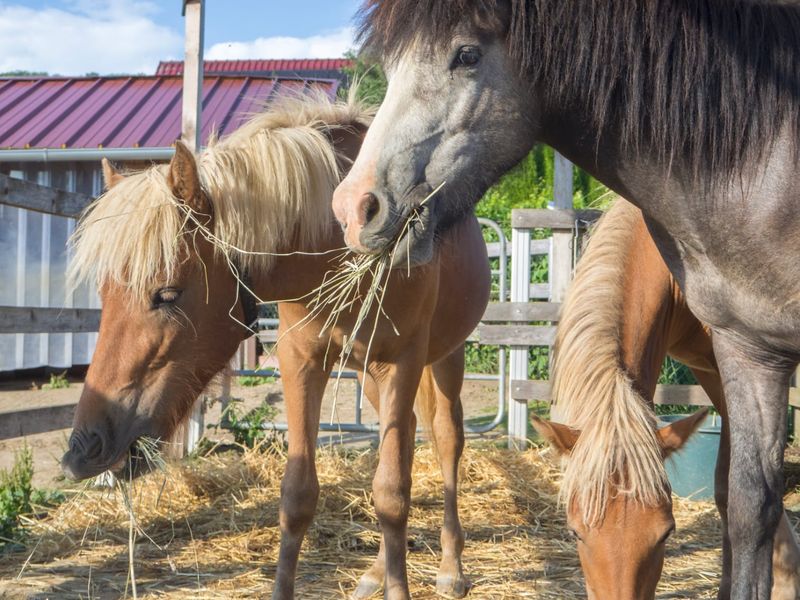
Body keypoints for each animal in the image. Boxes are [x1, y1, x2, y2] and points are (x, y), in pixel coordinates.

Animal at [59, 95, 488, 600]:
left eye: (166, 294)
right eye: (105, 295)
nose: (82, 450)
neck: (341, 246)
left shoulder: (401, 363)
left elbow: (392, 493)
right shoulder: (301, 363)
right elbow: (302, 493)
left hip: (443, 359)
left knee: (446, 440)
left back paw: (451, 565)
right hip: (370, 375)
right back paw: (376, 571)